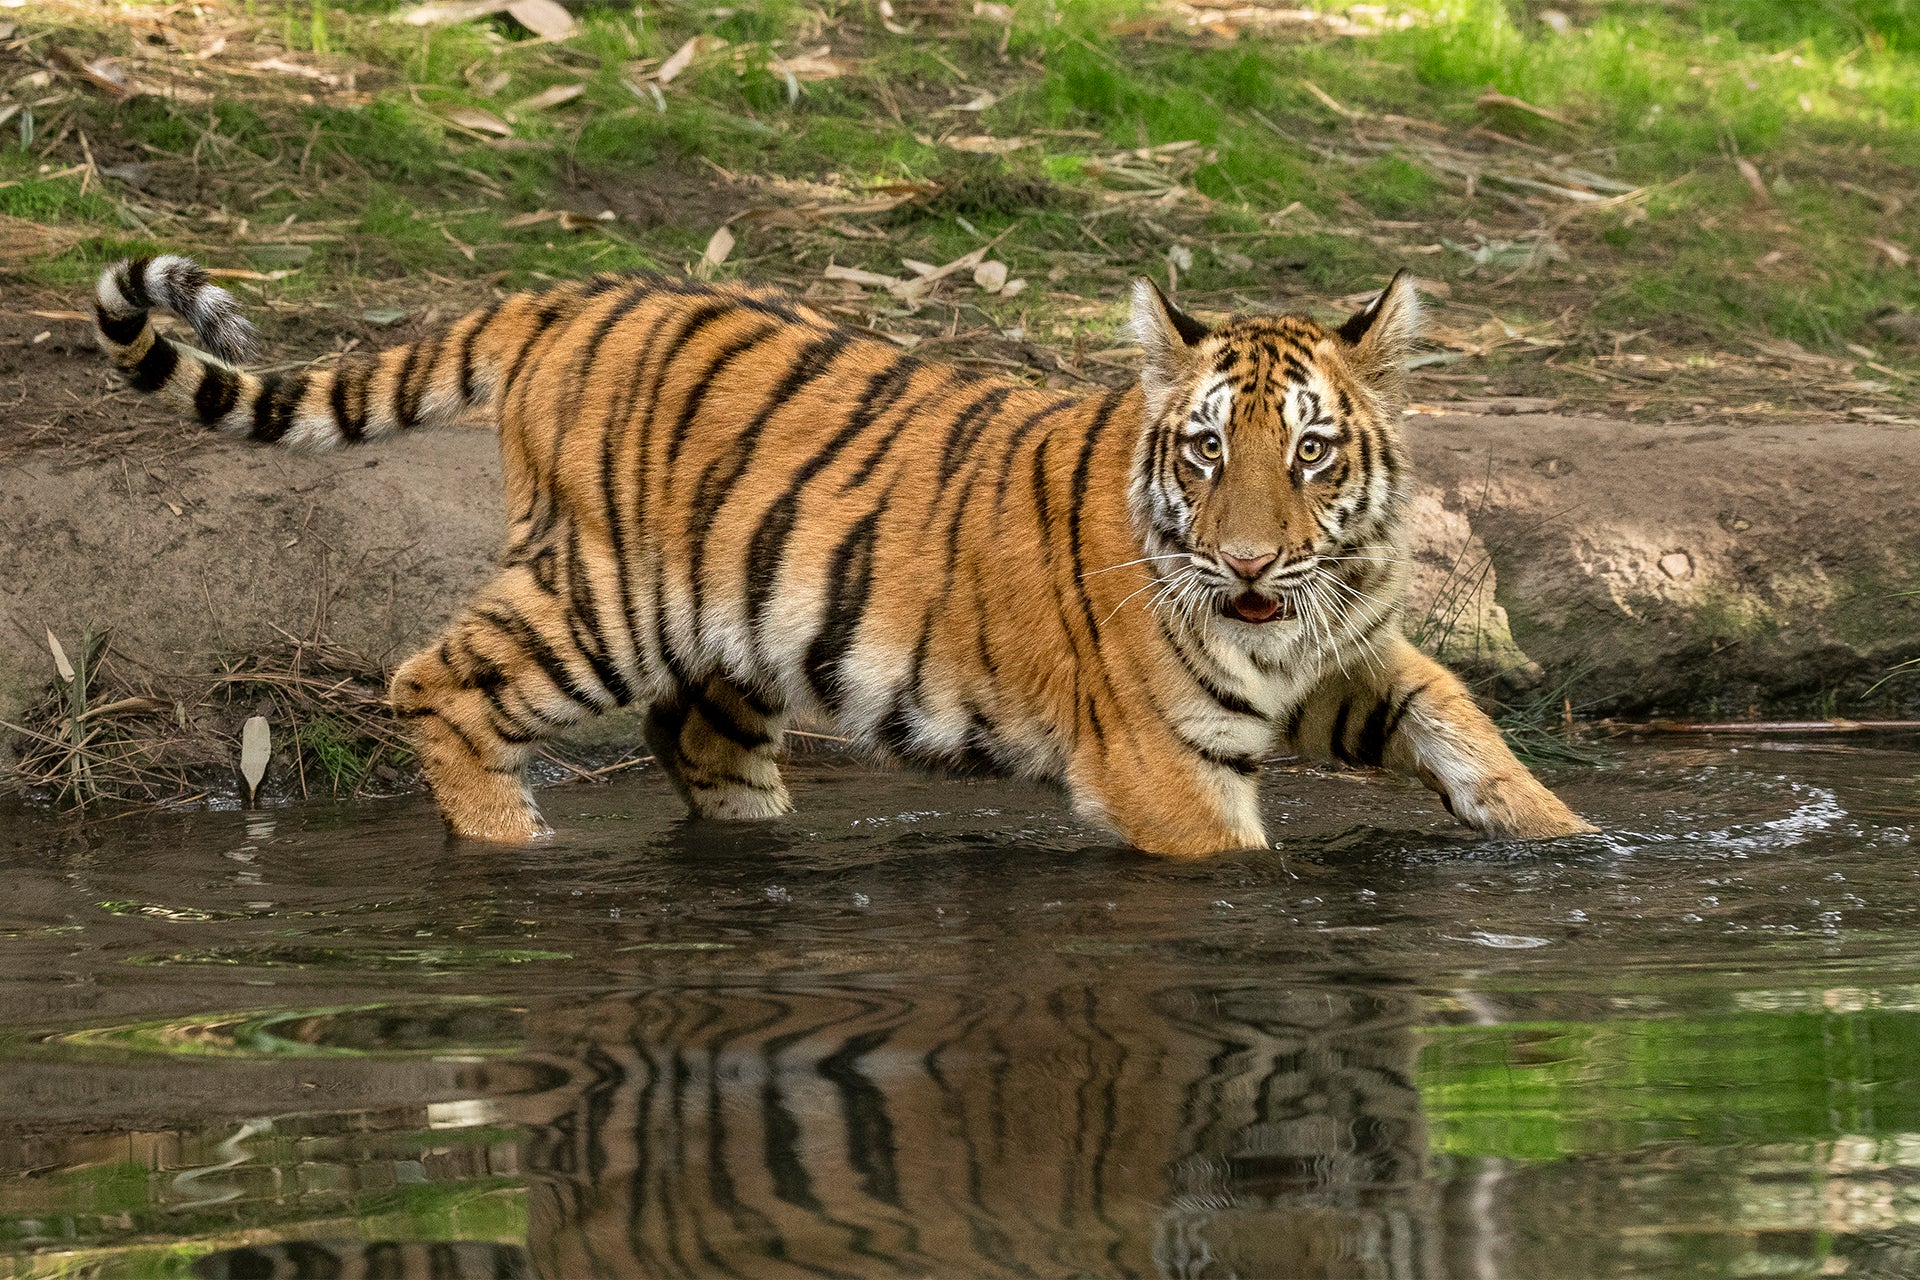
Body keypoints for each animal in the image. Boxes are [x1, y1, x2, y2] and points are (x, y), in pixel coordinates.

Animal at [91, 253, 1593, 856]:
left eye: (1316, 452)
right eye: (1211, 451)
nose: (1247, 566)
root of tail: (572, 295)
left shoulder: (1340, 655)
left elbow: (1461, 720)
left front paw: (1573, 842)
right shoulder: (1163, 760)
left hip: (732, 633)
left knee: (693, 738)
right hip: (599, 603)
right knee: (435, 684)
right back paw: (512, 842)